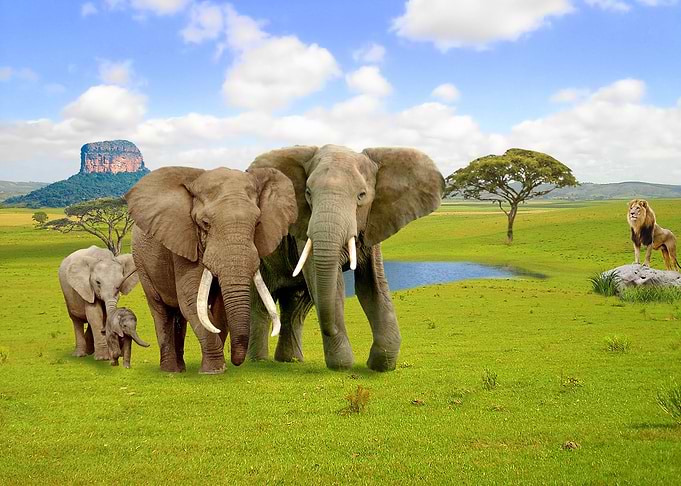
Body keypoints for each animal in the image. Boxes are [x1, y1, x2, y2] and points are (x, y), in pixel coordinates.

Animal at [125, 166, 297, 374]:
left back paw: (181, 368)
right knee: (161, 310)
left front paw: (217, 367)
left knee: (179, 315)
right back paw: (170, 370)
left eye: (257, 224)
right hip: (141, 263)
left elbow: (219, 306)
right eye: (205, 224)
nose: (237, 361)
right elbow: (191, 299)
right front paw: (214, 370)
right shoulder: (184, 240)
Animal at [247, 144, 444, 371]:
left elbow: (372, 285)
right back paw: (258, 361)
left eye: (361, 195)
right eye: (308, 193)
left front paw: (379, 364)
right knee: (261, 303)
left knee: (297, 306)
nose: (330, 329)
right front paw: (342, 365)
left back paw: (290, 360)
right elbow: (332, 286)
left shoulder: (373, 222)